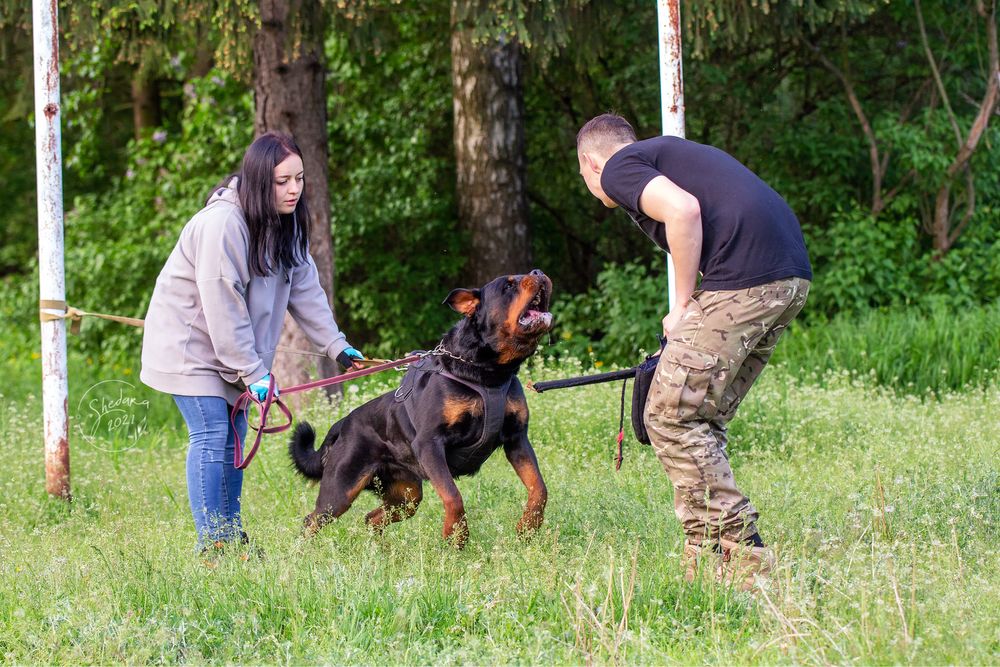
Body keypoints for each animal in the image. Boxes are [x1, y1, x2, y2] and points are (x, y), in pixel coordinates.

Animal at [290, 268, 556, 544]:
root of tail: (342, 424)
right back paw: (304, 551)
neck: (489, 374)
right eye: (509, 285)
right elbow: (453, 495)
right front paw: (456, 536)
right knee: (312, 520)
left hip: (406, 495)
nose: (538, 272)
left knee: (372, 518)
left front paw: (528, 526)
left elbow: (539, 488)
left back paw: (381, 550)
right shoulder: (430, 443)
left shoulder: (517, 438)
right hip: (342, 487)